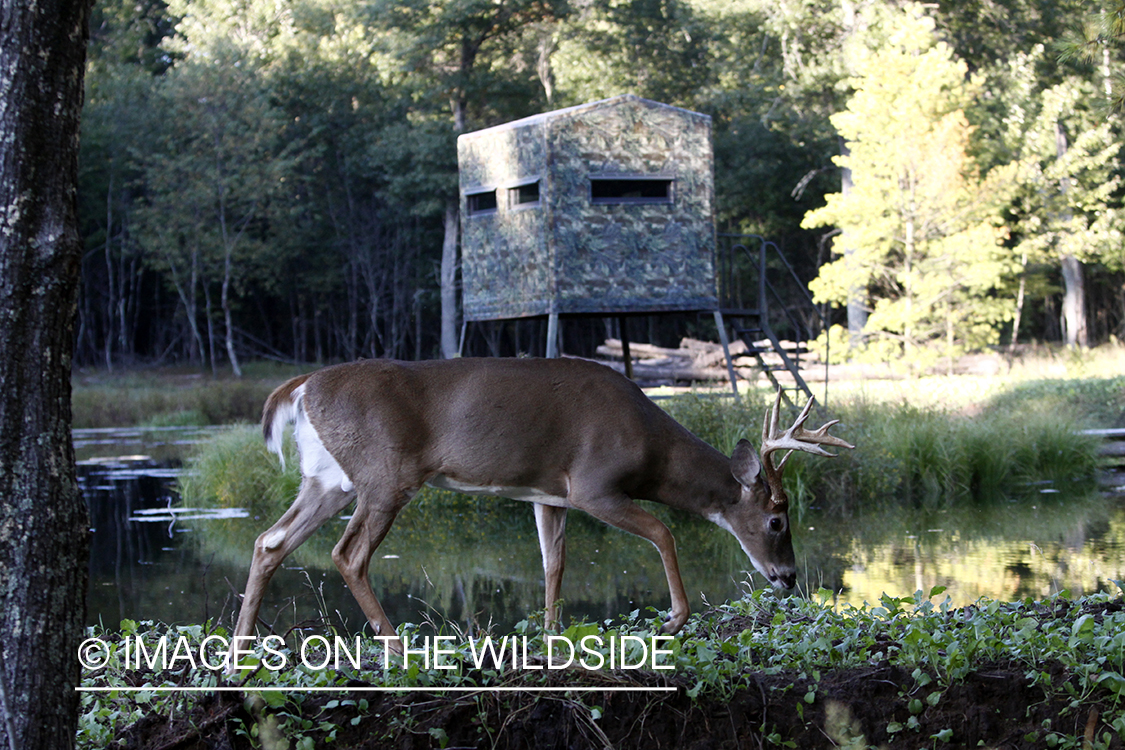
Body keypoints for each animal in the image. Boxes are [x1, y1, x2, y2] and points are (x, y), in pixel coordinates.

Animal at [230, 357, 850, 656]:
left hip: (327, 479)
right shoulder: (593, 484)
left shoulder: (549, 495)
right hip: (384, 476)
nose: (788, 576)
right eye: (777, 518)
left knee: (269, 540)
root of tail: (300, 387)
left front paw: (552, 637)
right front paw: (675, 617)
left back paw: (239, 650)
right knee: (347, 553)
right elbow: (662, 531)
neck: (651, 447)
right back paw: (396, 646)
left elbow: (554, 563)